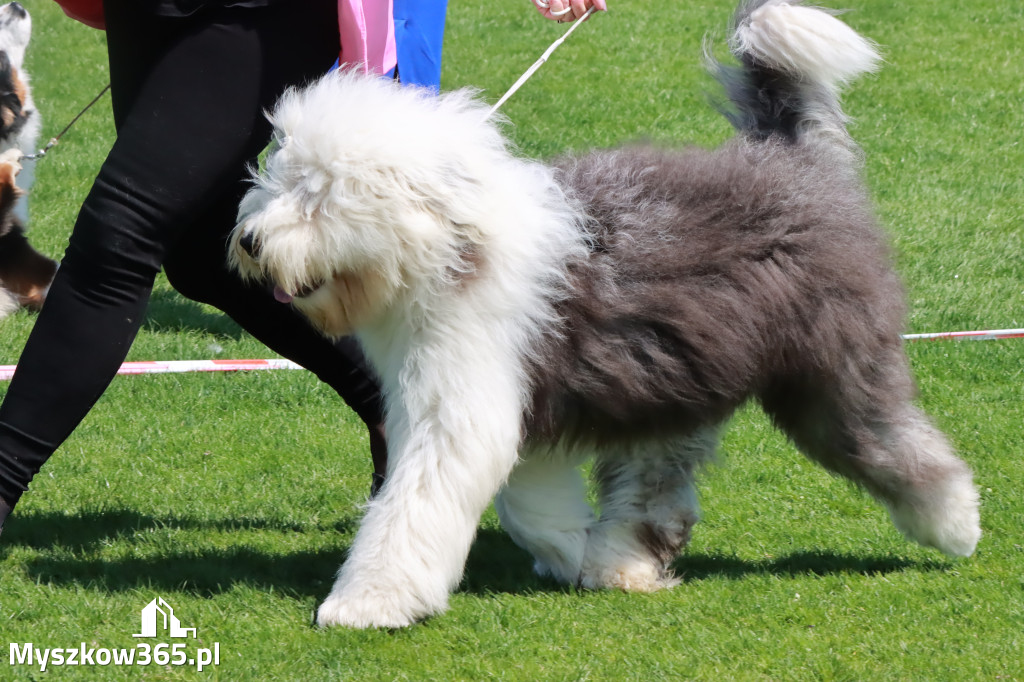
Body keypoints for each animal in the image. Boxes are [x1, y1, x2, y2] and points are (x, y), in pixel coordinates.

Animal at [228, 1, 978, 626]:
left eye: (319, 193)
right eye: (278, 175)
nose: (250, 241)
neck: (446, 242)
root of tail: (792, 160)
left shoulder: (463, 398)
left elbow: (418, 504)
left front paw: (364, 604)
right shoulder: (499, 393)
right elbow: (526, 497)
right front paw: (566, 545)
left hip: (827, 367)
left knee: (887, 437)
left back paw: (956, 523)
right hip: (675, 378)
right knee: (655, 482)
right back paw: (620, 562)